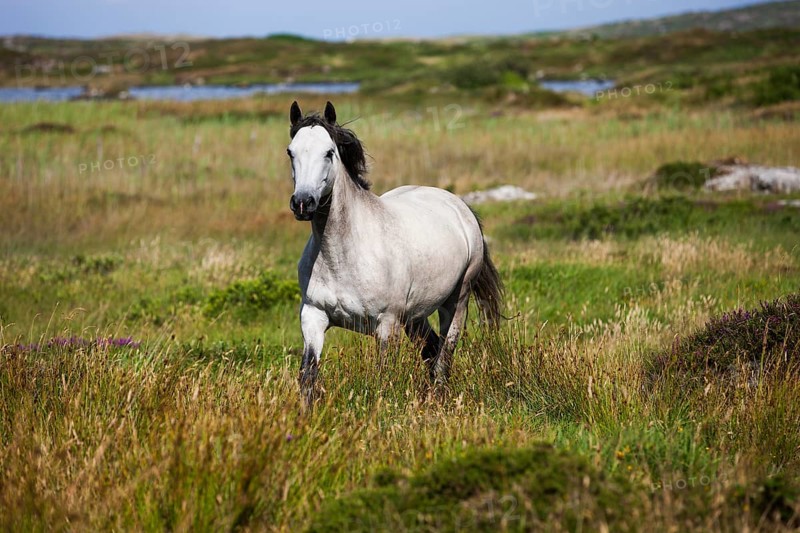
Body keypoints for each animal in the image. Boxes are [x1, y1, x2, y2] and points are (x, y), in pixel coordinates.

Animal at [286, 101, 503, 406]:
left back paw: (438, 398)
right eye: (290, 151)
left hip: (456, 302)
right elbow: (308, 375)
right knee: (431, 349)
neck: (342, 256)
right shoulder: (313, 316)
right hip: (415, 315)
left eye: (329, 152)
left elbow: (382, 376)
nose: (303, 203)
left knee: (444, 355)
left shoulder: (387, 324)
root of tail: (460, 206)